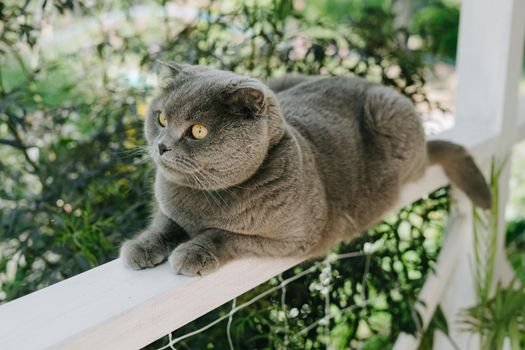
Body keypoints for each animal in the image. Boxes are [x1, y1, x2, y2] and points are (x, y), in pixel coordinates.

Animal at [119, 63, 492, 276]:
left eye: (198, 131)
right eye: (161, 119)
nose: (161, 146)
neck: (202, 200)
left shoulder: (293, 238)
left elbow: (225, 235)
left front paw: (192, 252)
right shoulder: (168, 208)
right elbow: (164, 224)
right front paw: (141, 247)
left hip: (388, 114)